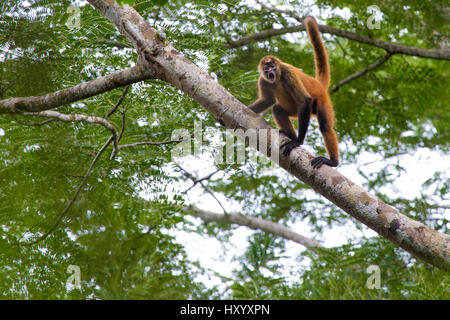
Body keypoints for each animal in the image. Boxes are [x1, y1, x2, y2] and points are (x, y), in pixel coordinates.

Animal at [248, 16, 340, 169]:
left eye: (273, 66)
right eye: (266, 69)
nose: (271, 72)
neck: (277, 78)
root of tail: (317, 83)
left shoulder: (287, 73)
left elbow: (305, 100)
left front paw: (298, 142)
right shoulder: (263, 80)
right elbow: (268, 101)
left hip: (320, 102)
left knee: (325, 126)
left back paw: (332, 161)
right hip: (295, 110)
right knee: (277, 108)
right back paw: (289, 134)